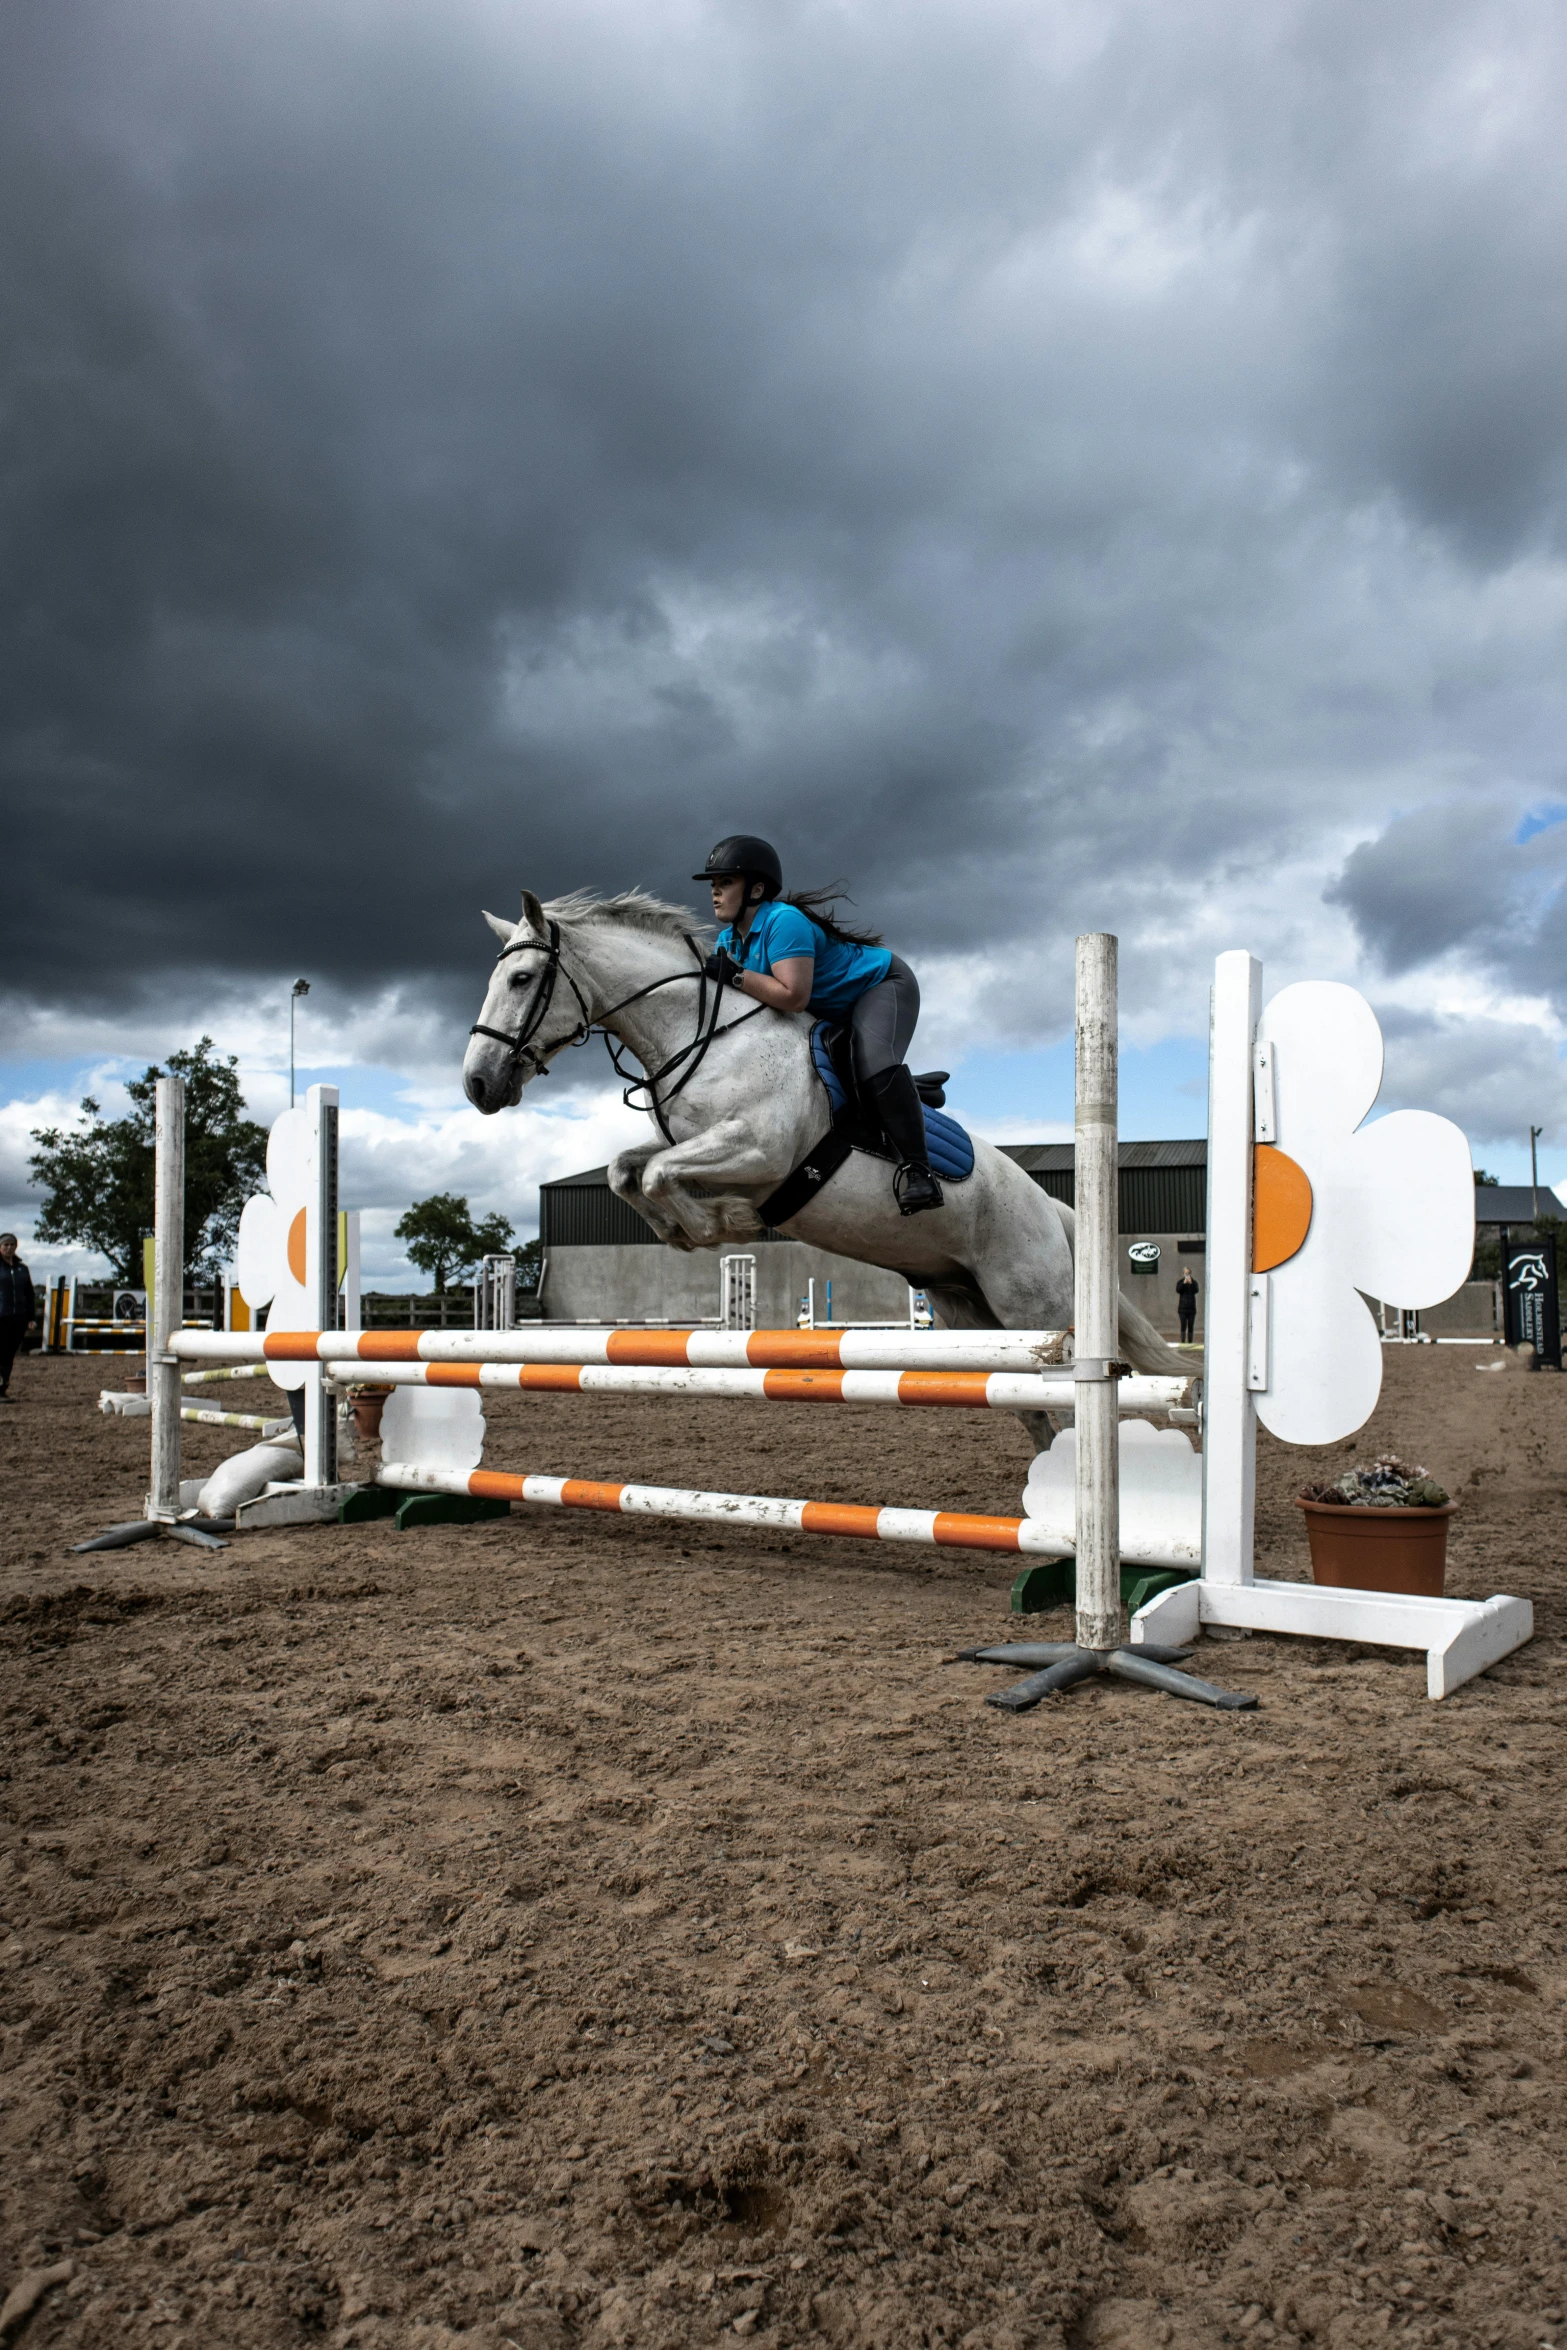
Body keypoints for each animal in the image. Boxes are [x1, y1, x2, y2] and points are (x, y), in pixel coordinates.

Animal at [460, 892, 1193, 1372]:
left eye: (521, 978)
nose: (477, 1085)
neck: (702, 1035)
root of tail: (1052, 1209)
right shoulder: (688, 1143)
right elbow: (625, 1169)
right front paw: (683, 1228)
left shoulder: (759, 1151)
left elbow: (662, 1174)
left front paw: (721, 1226)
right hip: (965, 1306)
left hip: (1032, 1305)